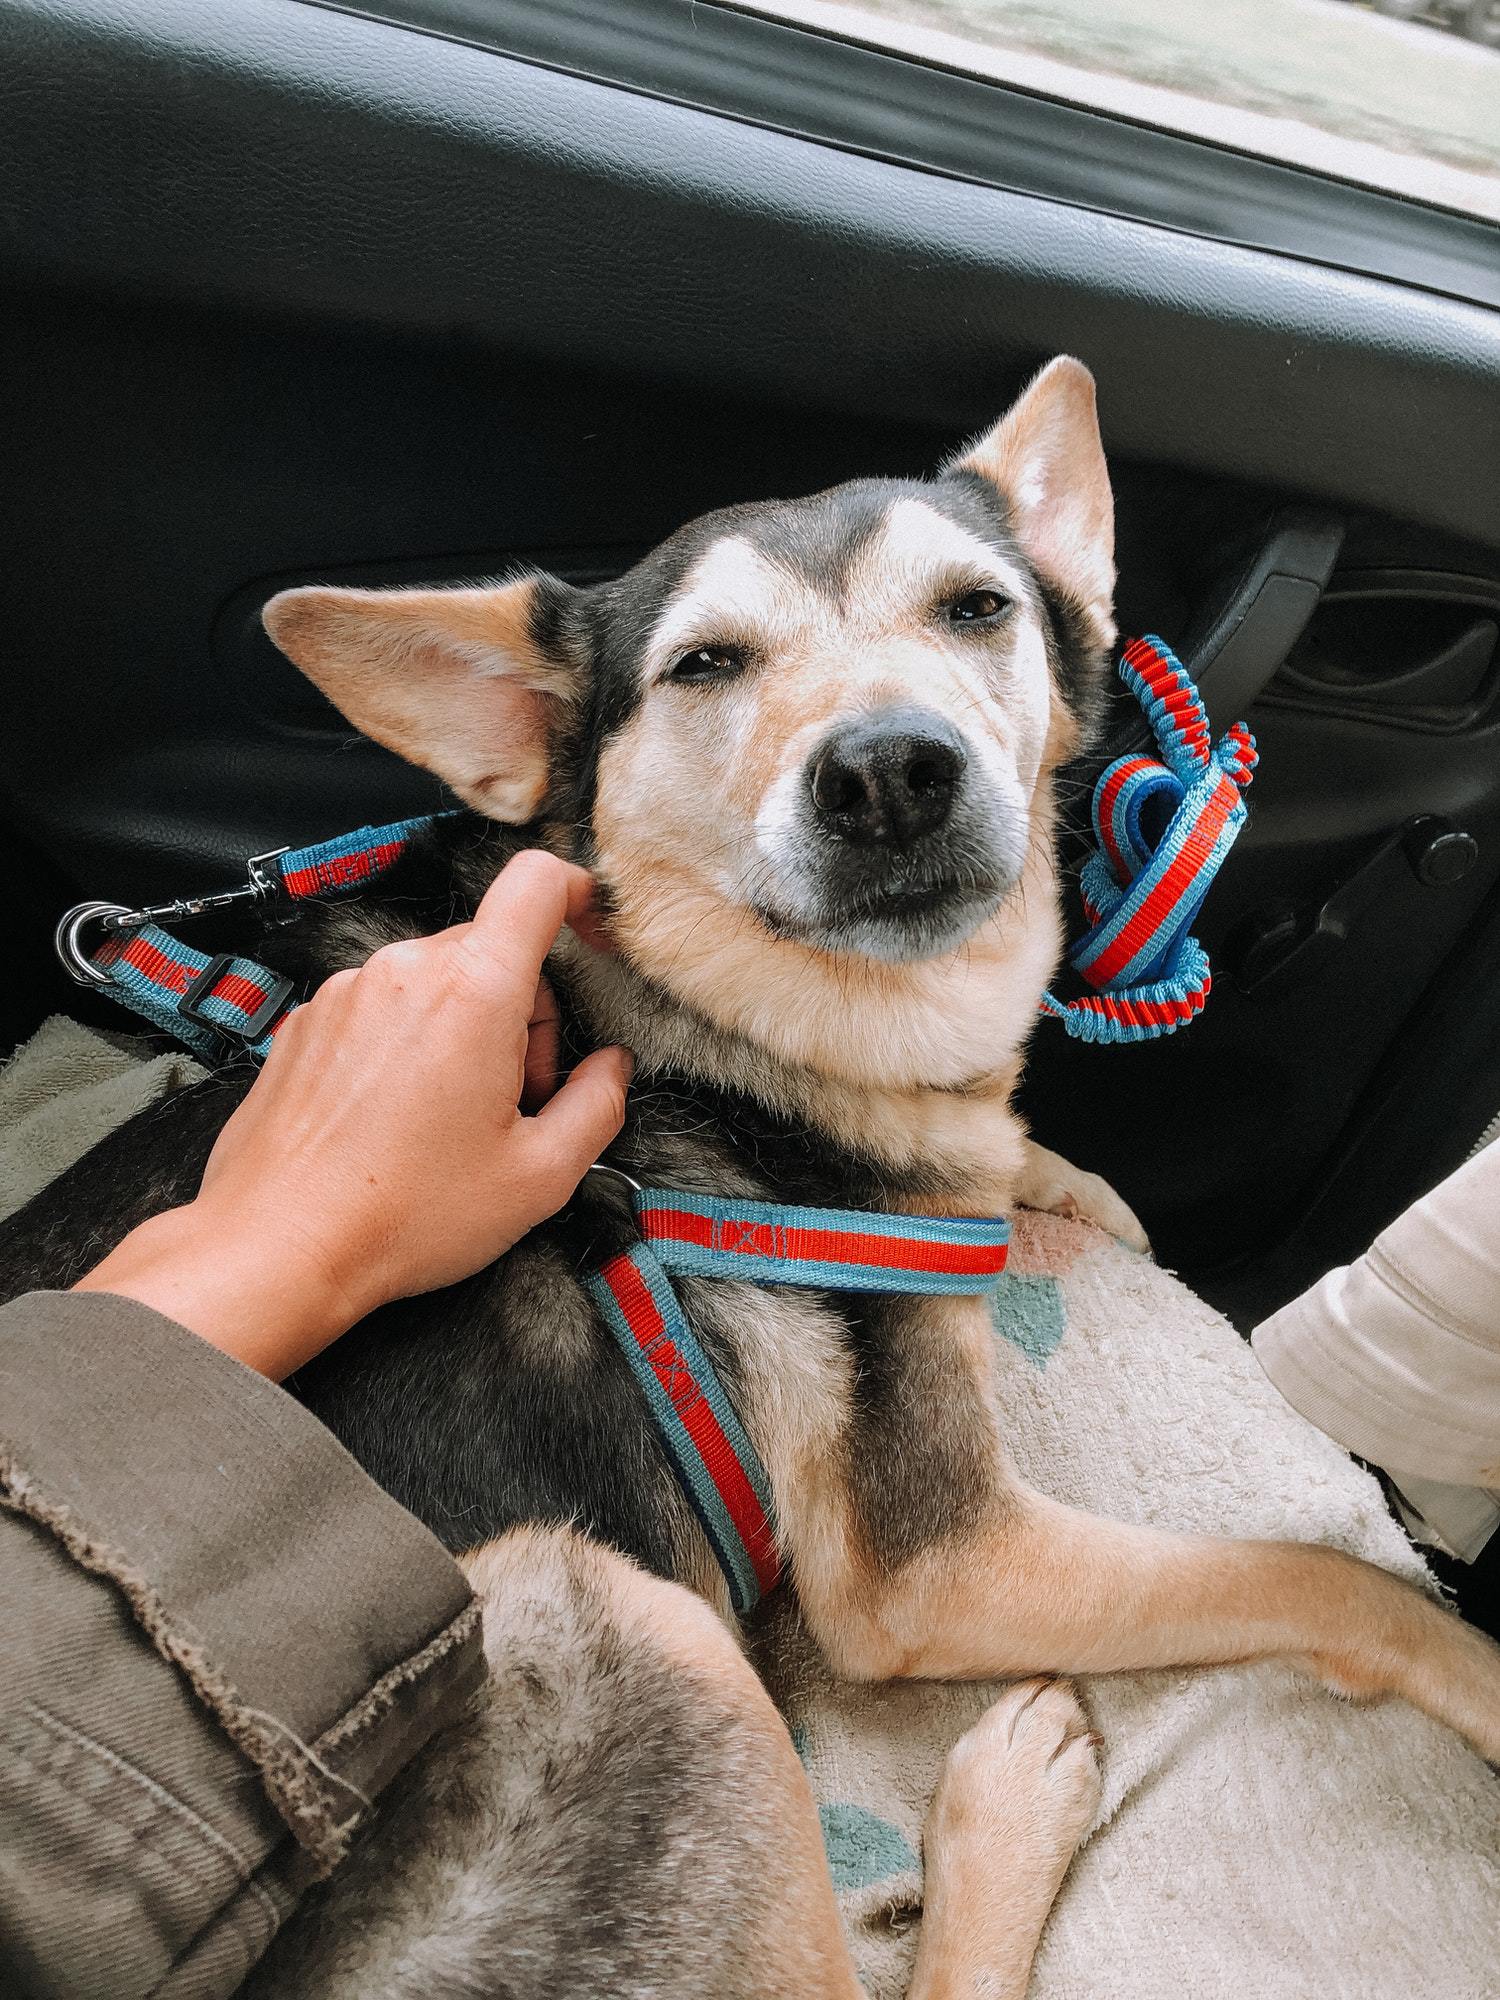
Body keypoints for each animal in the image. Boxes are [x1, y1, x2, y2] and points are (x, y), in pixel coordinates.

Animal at [5, 364, 1496, 2000]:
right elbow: (1319, 1576)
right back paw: (1003, 1810)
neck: (711, 1014)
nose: (891, 768)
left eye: (979, 608)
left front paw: (1061, 1177)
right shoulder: (936, 1563)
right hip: (624, 1622)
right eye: (705, 663)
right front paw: (1478, 1673)